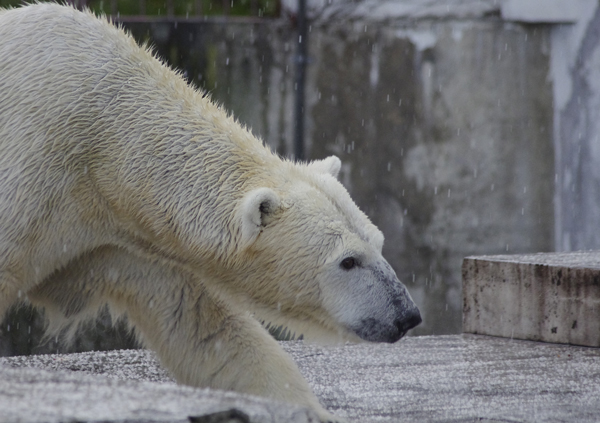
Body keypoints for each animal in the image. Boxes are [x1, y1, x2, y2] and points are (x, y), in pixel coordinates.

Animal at [0, 4, 422, 423]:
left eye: (379, 243)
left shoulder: (131, 239)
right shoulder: (35, 165)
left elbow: (207, 328)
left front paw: (307, 410)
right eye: (347, 261)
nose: (406, 315)